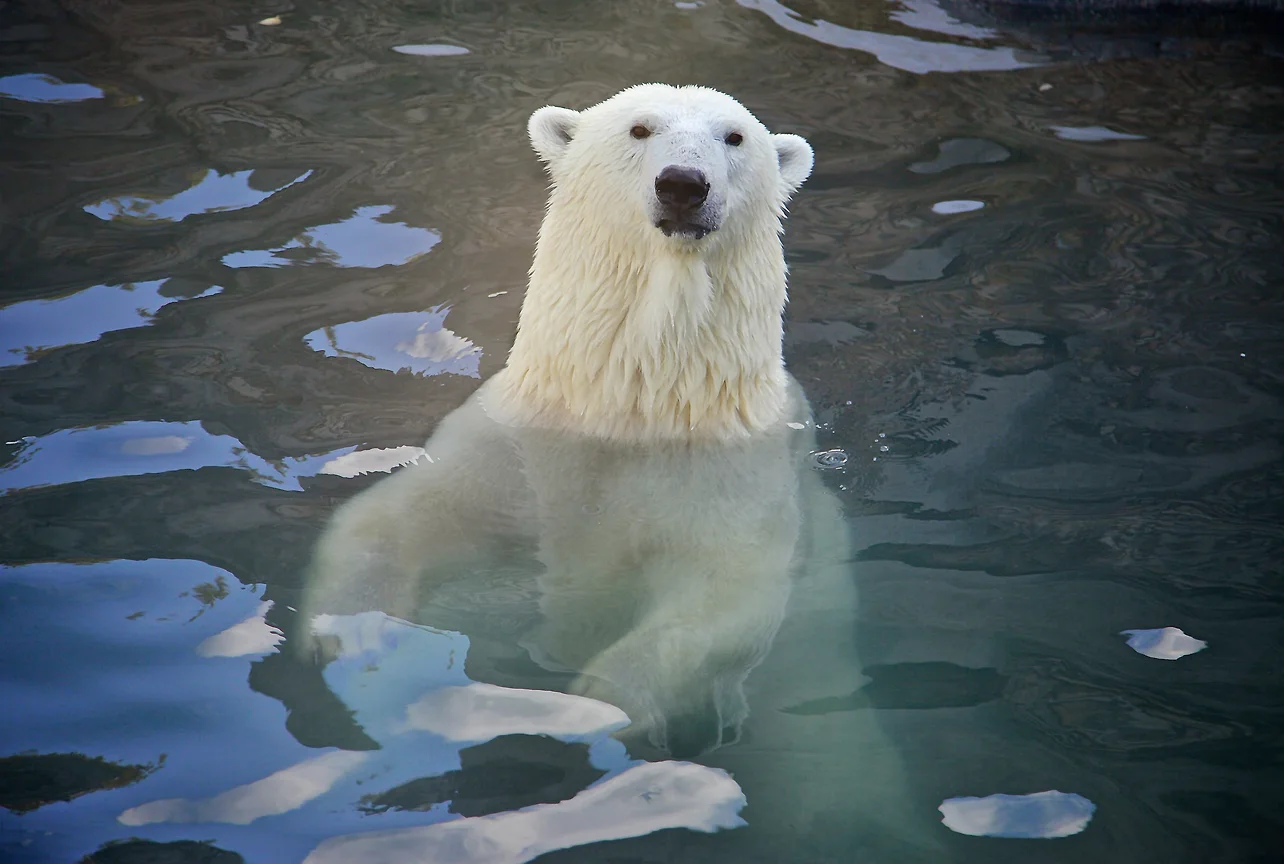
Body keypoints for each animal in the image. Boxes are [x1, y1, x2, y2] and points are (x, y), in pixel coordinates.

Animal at [297, 82, 832, 754]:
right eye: (639, 128)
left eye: (734, 137)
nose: (684, 184)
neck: (630, 410)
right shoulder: (513, 445)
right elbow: (395, 516)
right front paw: (357, 631)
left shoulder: (739, 475)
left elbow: (727, 594)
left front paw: (602, 701)